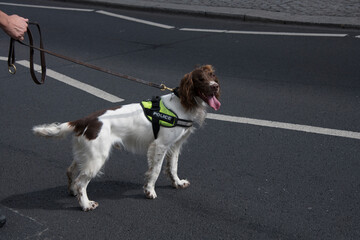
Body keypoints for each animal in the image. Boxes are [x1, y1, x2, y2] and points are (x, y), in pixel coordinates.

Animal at [32, 64, 221, 211]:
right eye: (200, 79)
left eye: (212, 76)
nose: (215, 86)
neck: (183, 103)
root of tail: (85, 120)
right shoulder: (160, 145)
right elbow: (155, 170)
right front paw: (150, 191)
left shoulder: (174, 145)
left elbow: (173, 167)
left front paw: (178, 183)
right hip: (97, 157)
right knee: (81, 182)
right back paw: (86, 204)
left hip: (85, 154)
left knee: (71, 171)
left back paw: (73, 192)